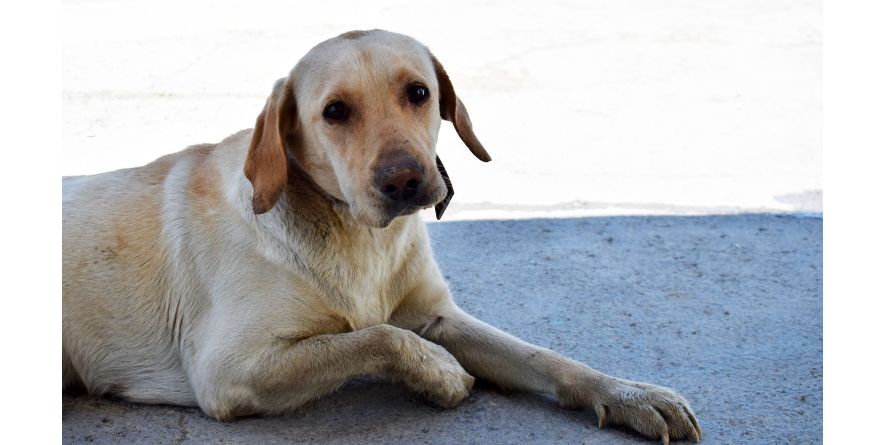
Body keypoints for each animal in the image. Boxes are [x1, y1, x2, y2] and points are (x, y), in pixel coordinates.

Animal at [60, 29, 700, 442]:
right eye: (335, 112)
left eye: (418, 92)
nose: (405, 180)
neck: (360, 239)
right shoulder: (227, 371)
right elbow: (377, 337)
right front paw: (440, 371)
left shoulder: (438, 314)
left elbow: (546, 357)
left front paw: (629, 394)